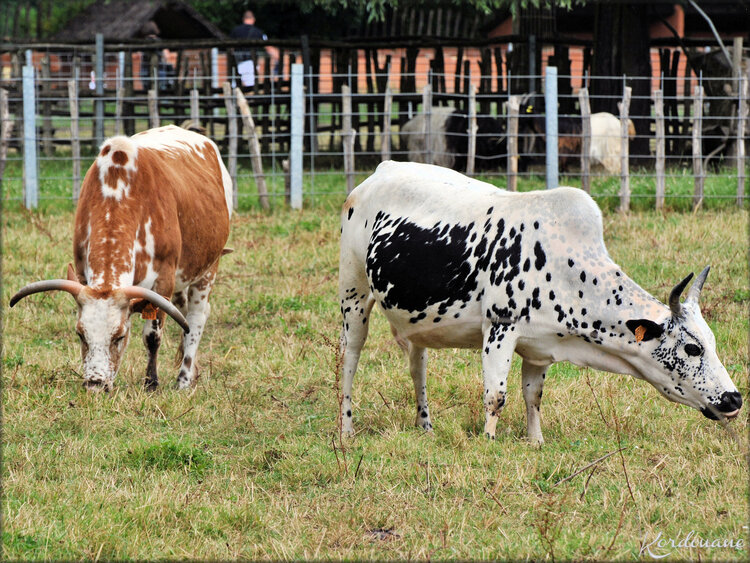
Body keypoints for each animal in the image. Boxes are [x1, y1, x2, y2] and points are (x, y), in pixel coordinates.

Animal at [9, 125, 232, 392]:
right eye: (80, 335)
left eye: (120, 336)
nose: (95, 384)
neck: (119, 194)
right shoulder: (84, 273)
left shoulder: (163, 281)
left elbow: (152, 336)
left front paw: (151, 383)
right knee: (184, 312)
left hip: (209, 267)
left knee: (196, 318)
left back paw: (184, 379)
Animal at [340, 160, 748, 446]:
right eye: (693, 348)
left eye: (711, 342)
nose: (733, 398)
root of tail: (382, 170)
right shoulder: (500, 328)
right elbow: (496, 396)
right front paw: (488, 442)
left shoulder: (539, 349)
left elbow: (532, 396)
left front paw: (535, 441)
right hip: (353, 295)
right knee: (350, 359)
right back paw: (346, 429)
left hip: (415, 321)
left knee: (418, 366)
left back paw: (425, 425)